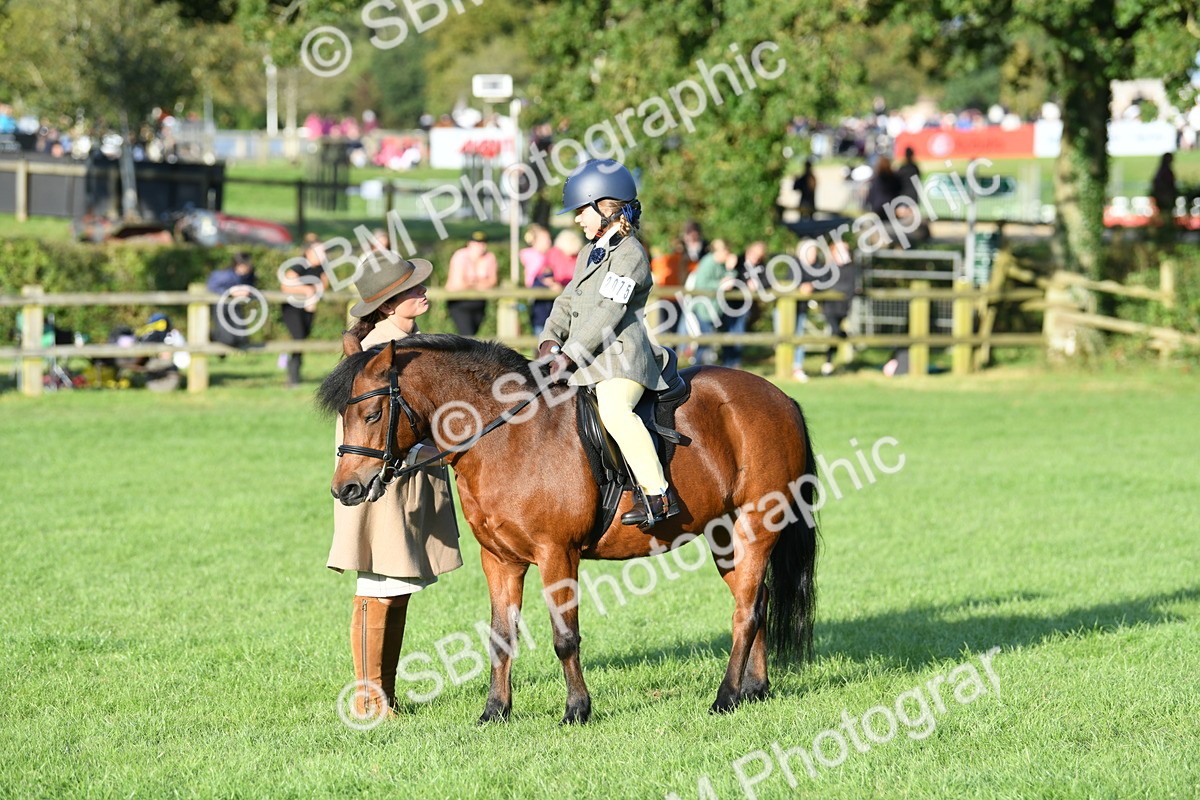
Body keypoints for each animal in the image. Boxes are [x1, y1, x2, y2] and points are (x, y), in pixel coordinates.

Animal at [318, 333, 819, 724]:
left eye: (372, 415)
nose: (346, 489)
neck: (506, 437)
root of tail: (779, 398)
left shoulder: (556, 553)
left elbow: (565, 637)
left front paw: (577, 709)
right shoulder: (500, 559)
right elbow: (500, 637)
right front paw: (495, 711)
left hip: (757, 524)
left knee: (746, 612)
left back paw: (726, 697)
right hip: (725, 535)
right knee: (756, 599)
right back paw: (755, 688)